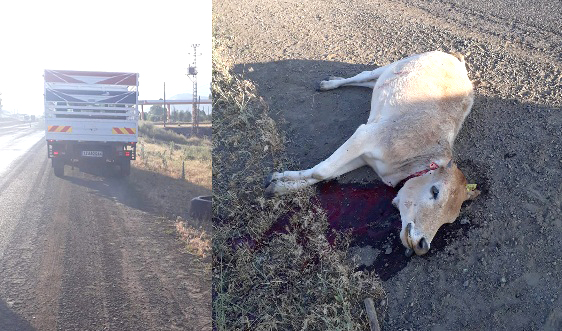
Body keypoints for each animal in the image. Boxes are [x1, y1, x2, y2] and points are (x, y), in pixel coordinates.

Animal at [264, 51, 480, 256]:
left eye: (449, 220)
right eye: (435, 191)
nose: (422, 245)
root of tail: (458, 61)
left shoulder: (364, 158)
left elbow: (323, 174)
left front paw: (278, 185)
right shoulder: (364, 136)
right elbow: (322, 172)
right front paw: (278, 181)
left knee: (370, 83)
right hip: (395, 63)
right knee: (364, 75)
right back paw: (328, 83)